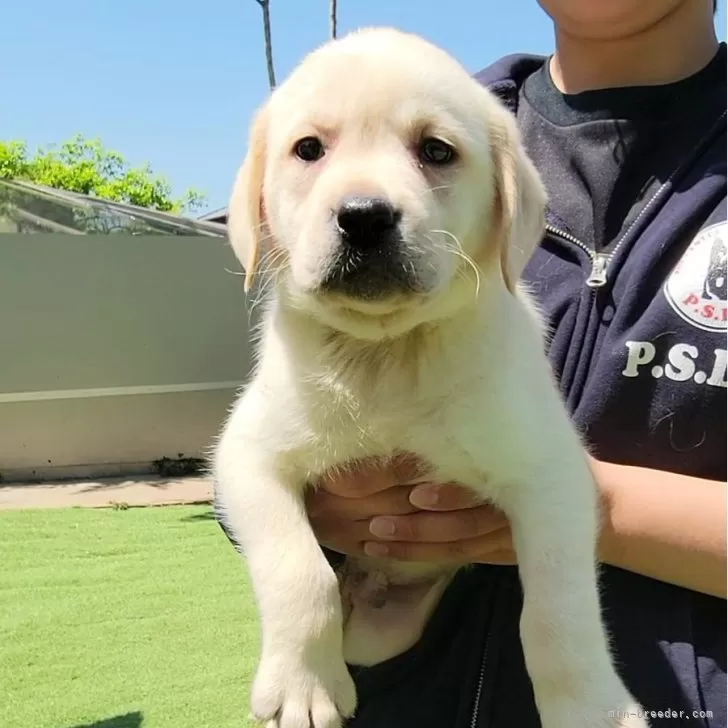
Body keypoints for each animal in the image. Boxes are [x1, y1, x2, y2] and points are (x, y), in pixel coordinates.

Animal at [213, 25, 644, 728]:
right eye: (309, 149)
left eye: (436, 151)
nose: (363, 214)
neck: (388, 354)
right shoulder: (248, 456)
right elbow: (299, 572)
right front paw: (303, 686)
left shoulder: (553, 477)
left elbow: (559, 612)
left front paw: (590, 706)